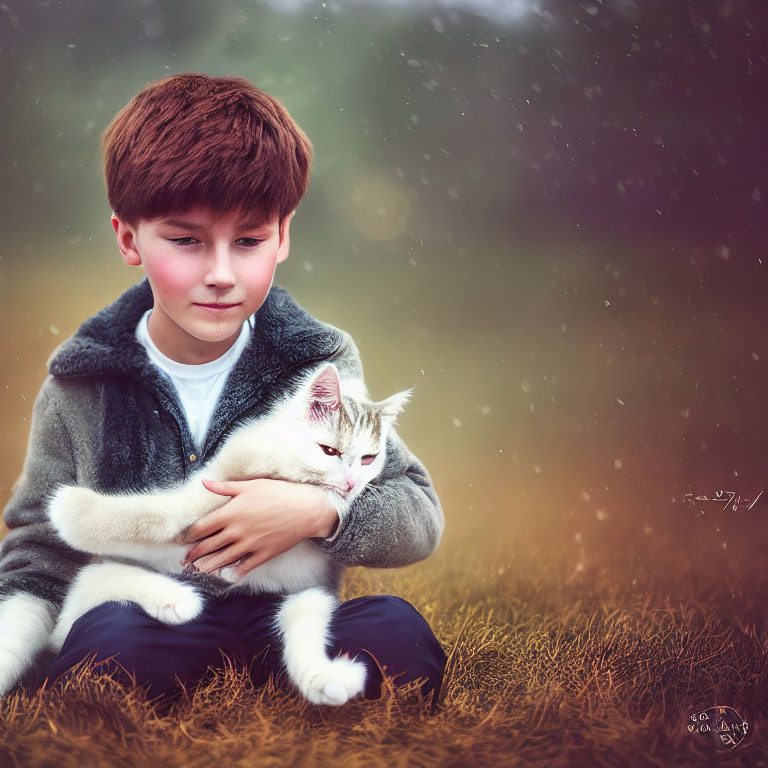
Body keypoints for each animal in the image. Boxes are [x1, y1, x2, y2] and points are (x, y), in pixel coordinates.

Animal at [46, 364, 408, 704]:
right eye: (329, 451)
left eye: (369, 458)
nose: (350, 483)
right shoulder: (213, 485)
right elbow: (161, 517)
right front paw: (69, 507)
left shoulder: (308, 582)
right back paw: (175, 599)